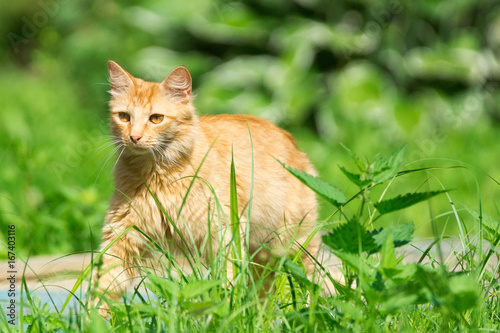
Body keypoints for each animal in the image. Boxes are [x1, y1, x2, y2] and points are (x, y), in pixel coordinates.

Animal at [93, 59, 318, 312]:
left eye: (156, 118)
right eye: (124, 117)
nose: (134, 137)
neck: (156, 175)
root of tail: (293, 143)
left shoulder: (222, 232)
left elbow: (227, 281)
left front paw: (226, 311)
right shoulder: (122, 233)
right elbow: (104, 285)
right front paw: (92, 317)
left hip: (294, 243)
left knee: (309, 281)